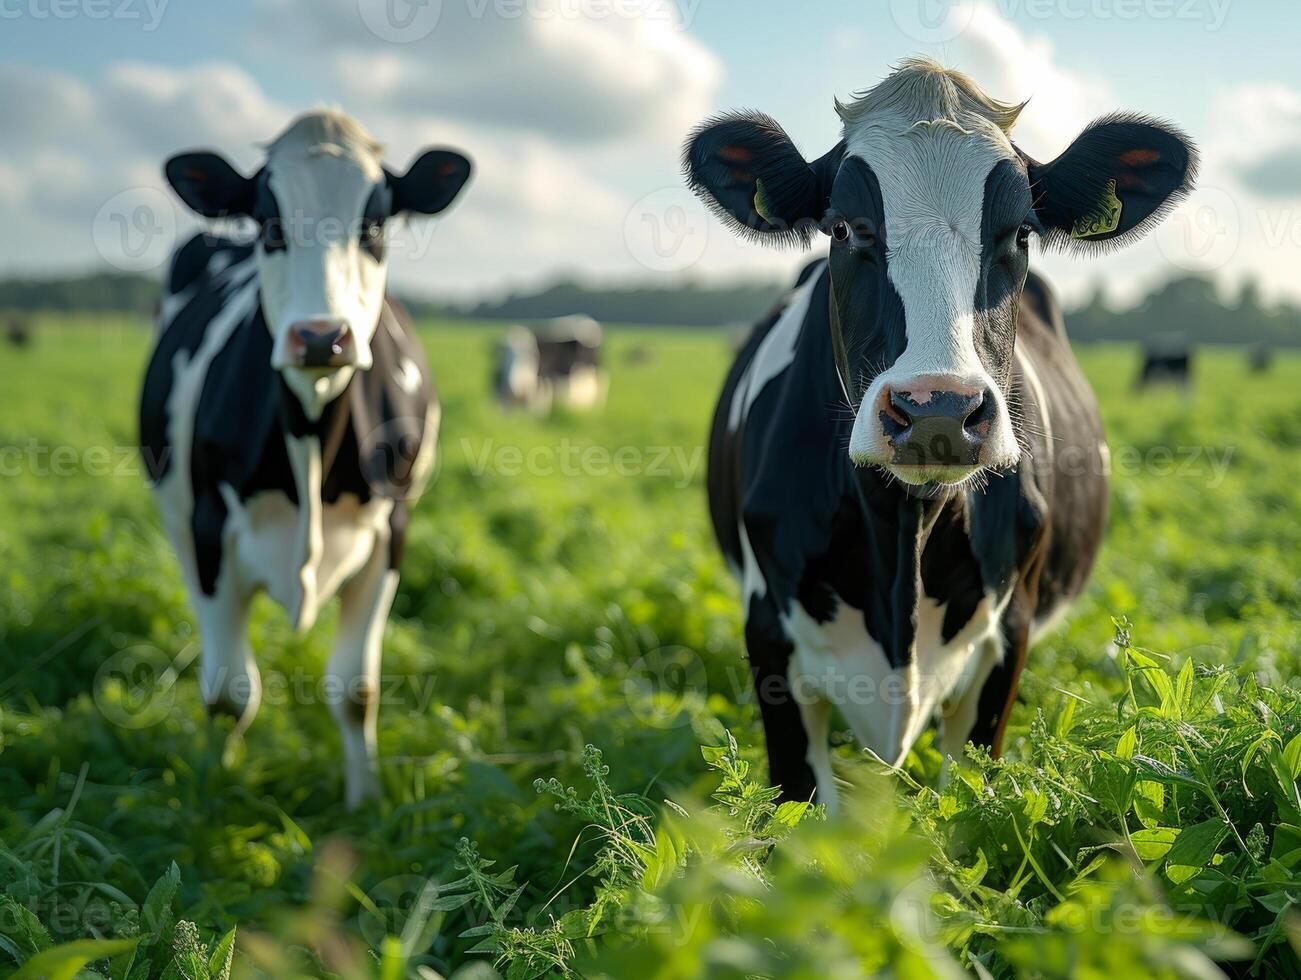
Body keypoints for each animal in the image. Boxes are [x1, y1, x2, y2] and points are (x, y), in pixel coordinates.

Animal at [141, 108, 473, 812]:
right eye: (269, 224)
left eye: (374, 225)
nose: (321, 337)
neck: (311, 430)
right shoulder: (212, 530)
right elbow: (228, 692)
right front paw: (214, 793)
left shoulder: (391, 533)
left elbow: (356, 689)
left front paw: (365, 801)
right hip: (179, 514)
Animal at [686, 59, 1191, 812]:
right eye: (843, 229)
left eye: (1019, 233)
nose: (937, 409)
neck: (904, 529)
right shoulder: (767, 634)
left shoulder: (1008, 638)